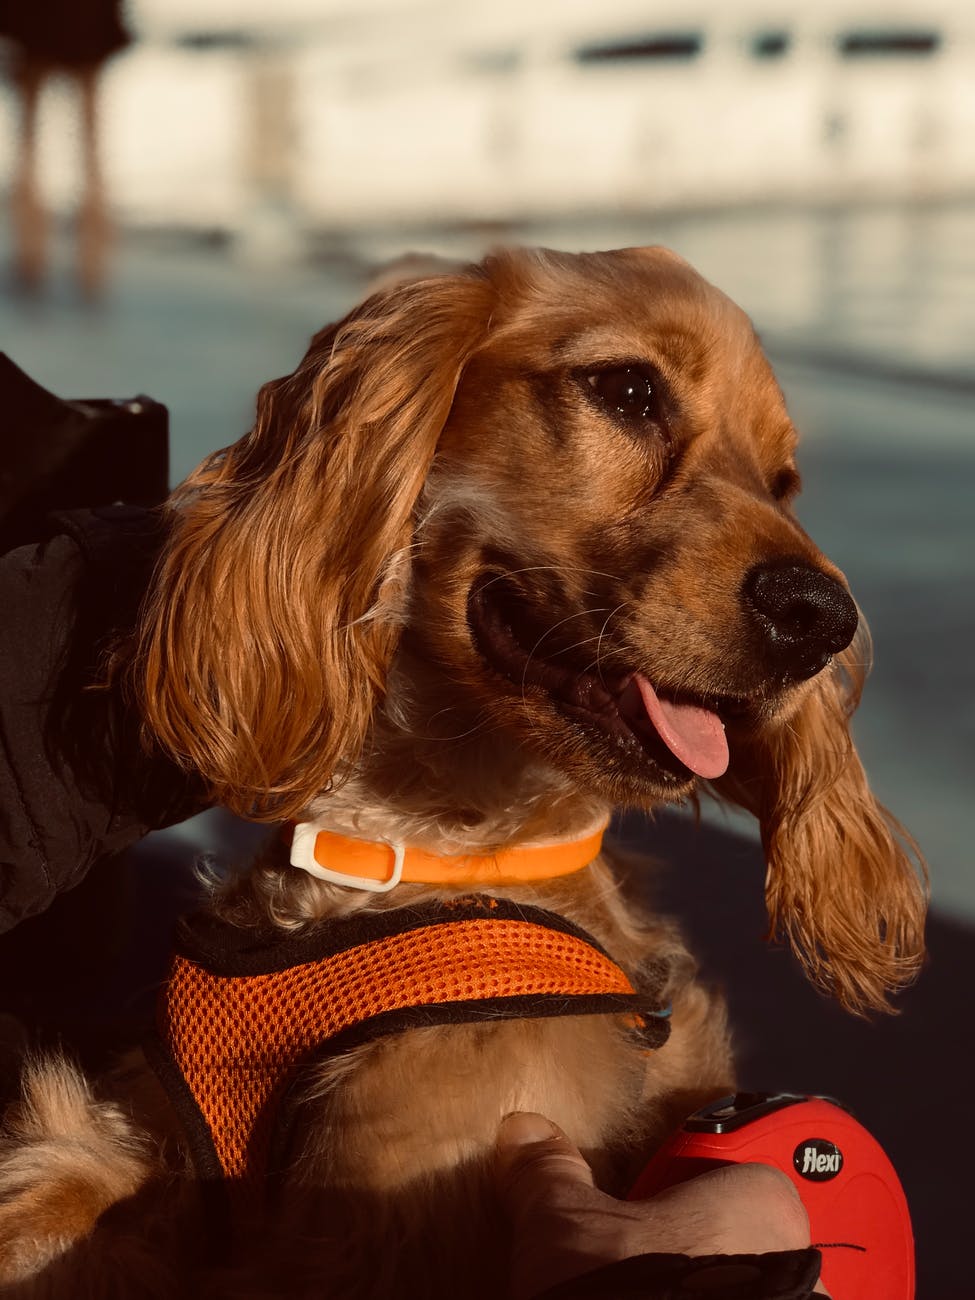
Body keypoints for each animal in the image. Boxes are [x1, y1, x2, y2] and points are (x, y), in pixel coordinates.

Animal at [0, 241, 925, 1289]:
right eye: (628, 389)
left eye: (781, 480)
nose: (820, 617)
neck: (407, 851)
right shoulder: (128, 1140)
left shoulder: (390, 1210)